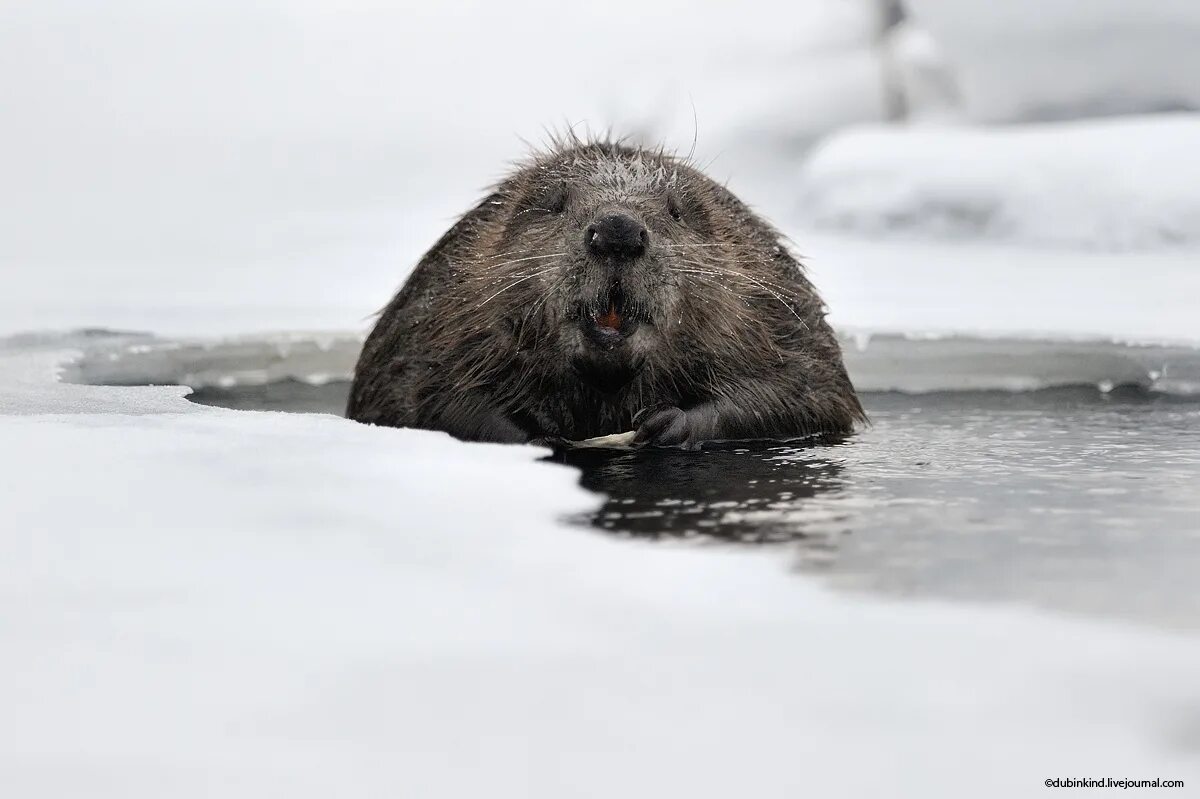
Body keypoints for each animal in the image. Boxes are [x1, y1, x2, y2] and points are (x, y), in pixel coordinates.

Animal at [348, 137, 864, 448]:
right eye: (554, 204)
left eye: (676, 210)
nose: (618, 230)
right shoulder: (441, 312)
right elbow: (425, 393)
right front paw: (538, 430)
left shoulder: (772, 308)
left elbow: (804, 390)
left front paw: (668, 423)